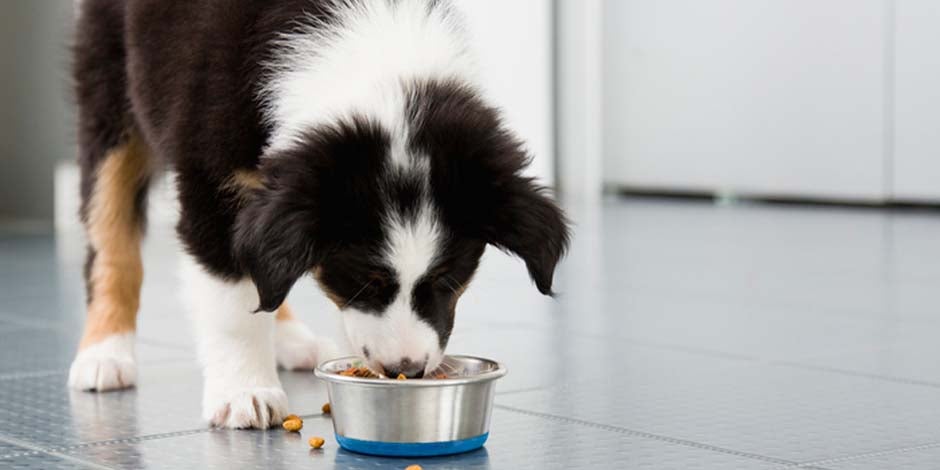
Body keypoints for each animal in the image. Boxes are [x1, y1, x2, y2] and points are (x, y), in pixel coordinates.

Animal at [70, 0, 568, 428]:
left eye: (448, 279)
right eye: (365, 279)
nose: (406, 369)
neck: (373, 56)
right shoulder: (212, 183)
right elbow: (232, 303)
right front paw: (244, 393)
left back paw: (294, 341)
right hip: (109, 89)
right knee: (111, 235)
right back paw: (104, 355)